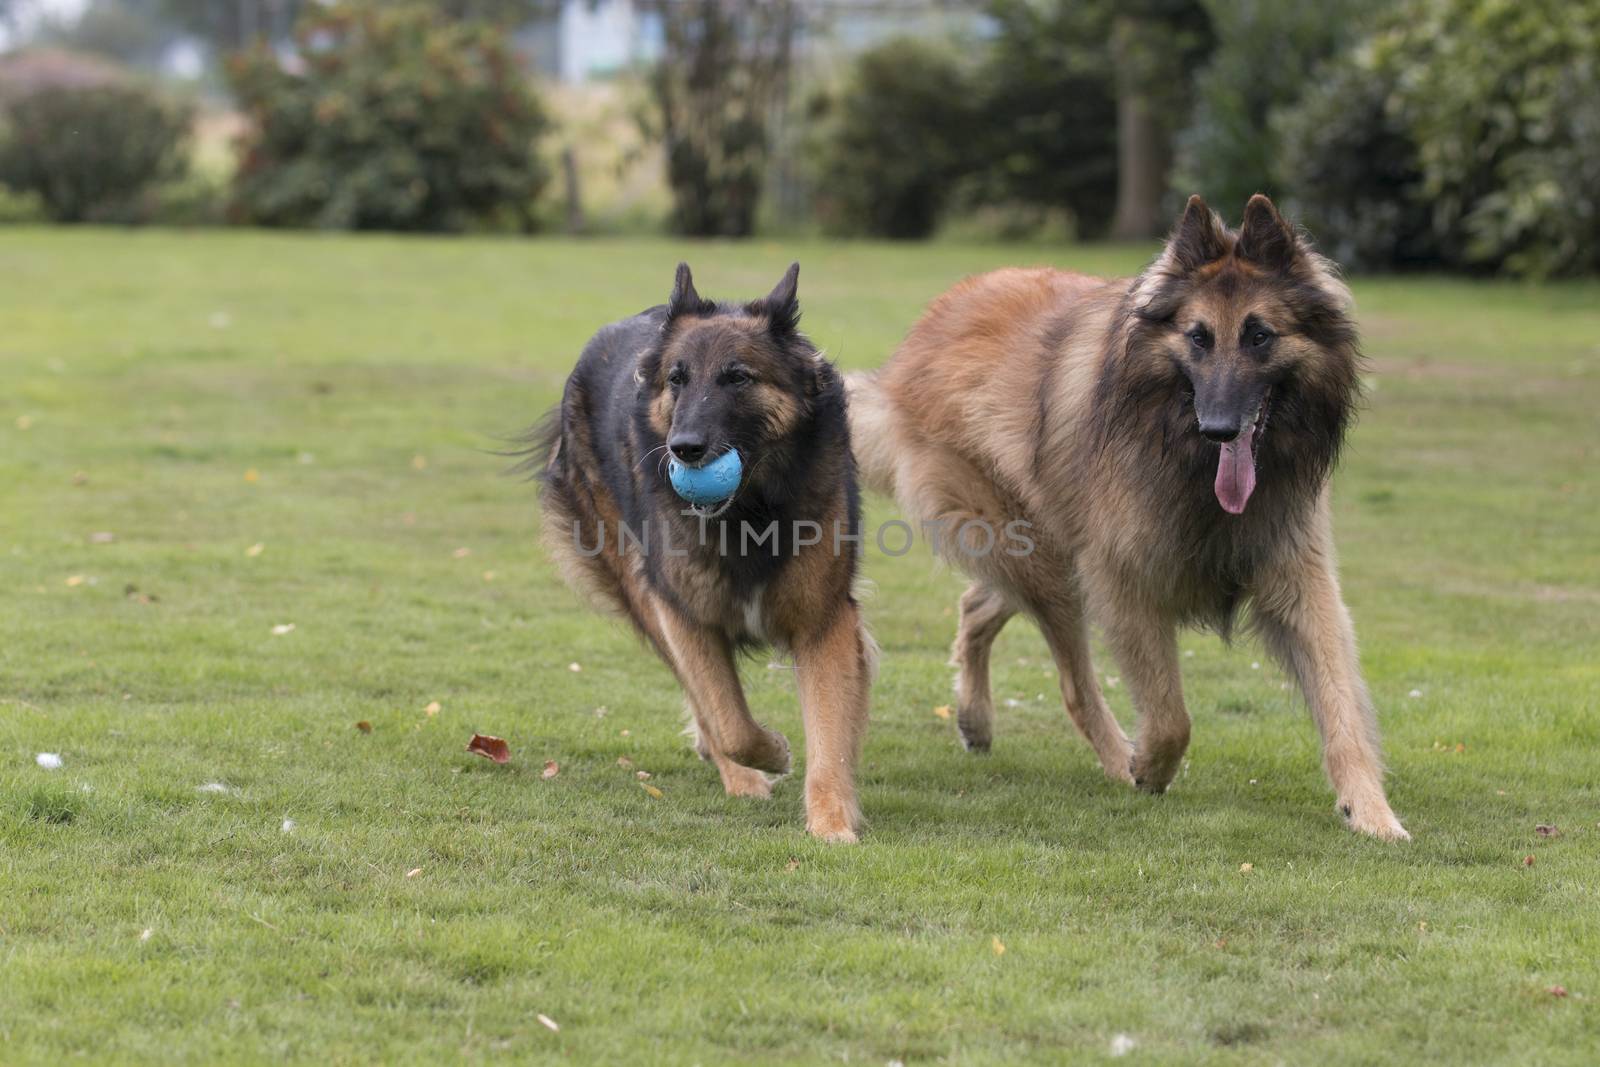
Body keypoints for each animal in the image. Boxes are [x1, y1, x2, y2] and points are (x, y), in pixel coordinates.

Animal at [844, 195, 1408, 838]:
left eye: (1260, 335)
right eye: (1197, 337)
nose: (1219, 429)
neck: (1184, 451)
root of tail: (911, 350)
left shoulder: (1299, 580)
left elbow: (1342, 707)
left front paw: (1371, 811)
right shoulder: (1123, 581)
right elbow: (1170, 716)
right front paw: (1150, 769)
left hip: (1041, 551)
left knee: (978, 605)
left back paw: (975, 719)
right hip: (1045, 560)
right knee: (1073, 684)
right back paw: (1116, 759)